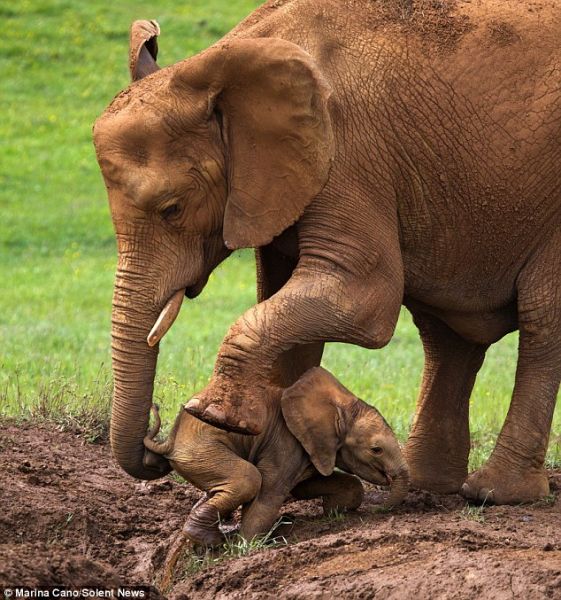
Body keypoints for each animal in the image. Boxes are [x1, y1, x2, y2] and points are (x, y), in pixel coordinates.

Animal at [93, 2, 560, 504]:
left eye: (172, 208)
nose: (155, 449)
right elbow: (284, 305)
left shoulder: (350, 153)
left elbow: (362, 300)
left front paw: (213, 414)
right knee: (445, 335)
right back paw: (430, 484)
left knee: (541, 318)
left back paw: (496, 493)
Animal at [143, 366, 406, 544]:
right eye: (376, 449)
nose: (380, 510)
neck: (340, 407)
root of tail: (170, 441)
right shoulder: (285, 442)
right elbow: (270, 493)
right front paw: (245, 546)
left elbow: (306, 486)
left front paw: (333, 509)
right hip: (201, 449)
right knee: (248, 479)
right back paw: (207, 539)